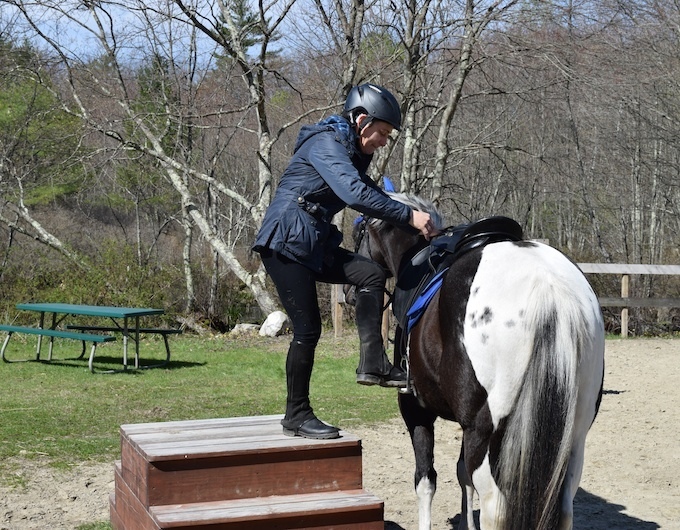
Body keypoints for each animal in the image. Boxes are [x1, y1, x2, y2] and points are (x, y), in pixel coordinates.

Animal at [354, 192, 604, 528]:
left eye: (359, 231)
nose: (348, 294)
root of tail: (547, 286)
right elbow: (462, 475)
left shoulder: (415, 407)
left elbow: (426, 479)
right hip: (574, 437)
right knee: (563, 507)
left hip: (485, 433)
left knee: (494, 507)